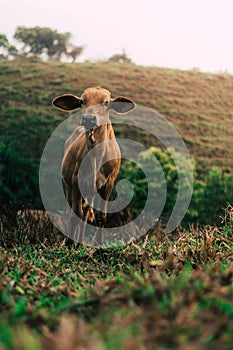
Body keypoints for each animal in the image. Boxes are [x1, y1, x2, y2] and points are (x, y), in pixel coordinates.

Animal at [51, 85, 134, 243]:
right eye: (82, 101)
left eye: (106, 102)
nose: (89, 119)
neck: (97, 156)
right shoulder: (77, 181)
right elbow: (75, 216)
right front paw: (69, 244)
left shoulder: (109, 183)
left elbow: (102, 216)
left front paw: (100, 243)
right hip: (68, 185)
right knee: (73, 212)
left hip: (90, 192)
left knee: (85, 215)